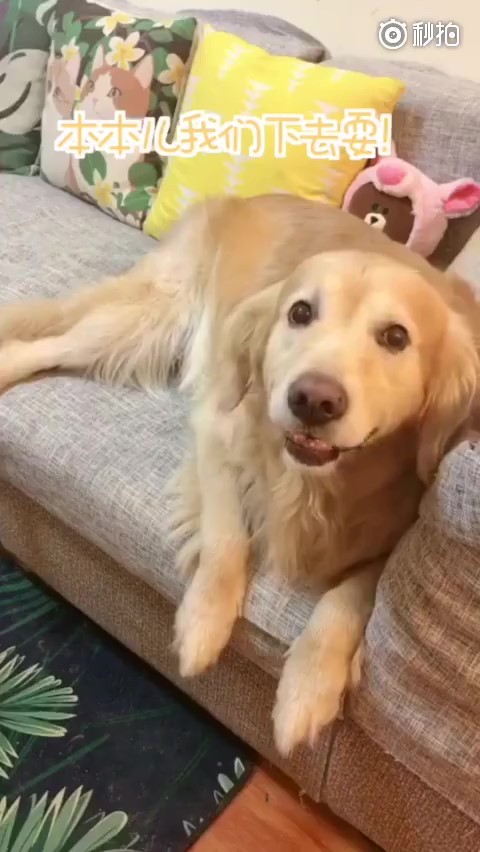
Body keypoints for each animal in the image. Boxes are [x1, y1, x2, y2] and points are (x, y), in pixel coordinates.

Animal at [0, 194, 478, 756]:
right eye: (300, 312)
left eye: (396, 337)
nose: (312, 399)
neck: (315, 484)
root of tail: (237, 200)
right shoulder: (217, 426)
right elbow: (228, 536)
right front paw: (203, 623)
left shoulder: (395, 530)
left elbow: (352, 594)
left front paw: (308, 688)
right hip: (147, 325)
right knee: (42, 346)